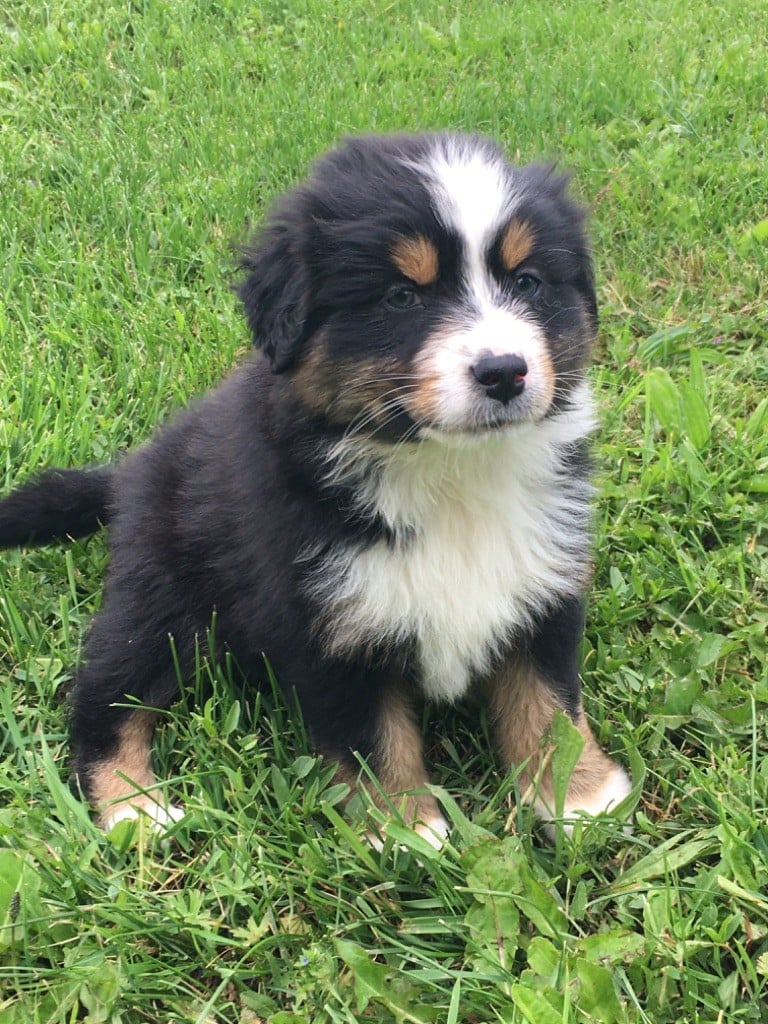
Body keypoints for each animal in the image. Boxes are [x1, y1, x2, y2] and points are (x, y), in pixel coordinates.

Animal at [0, 132, 631, 846]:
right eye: (401, 297)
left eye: (527, 281)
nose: (504, 372)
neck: (447, 473)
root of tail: (131, 468)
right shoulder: (325, 624)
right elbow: (375, 739)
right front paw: (407, 830)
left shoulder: (543, 584)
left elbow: (549, 705)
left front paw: (580, 799)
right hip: (161, 600)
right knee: (104, 691)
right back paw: (132, 806)